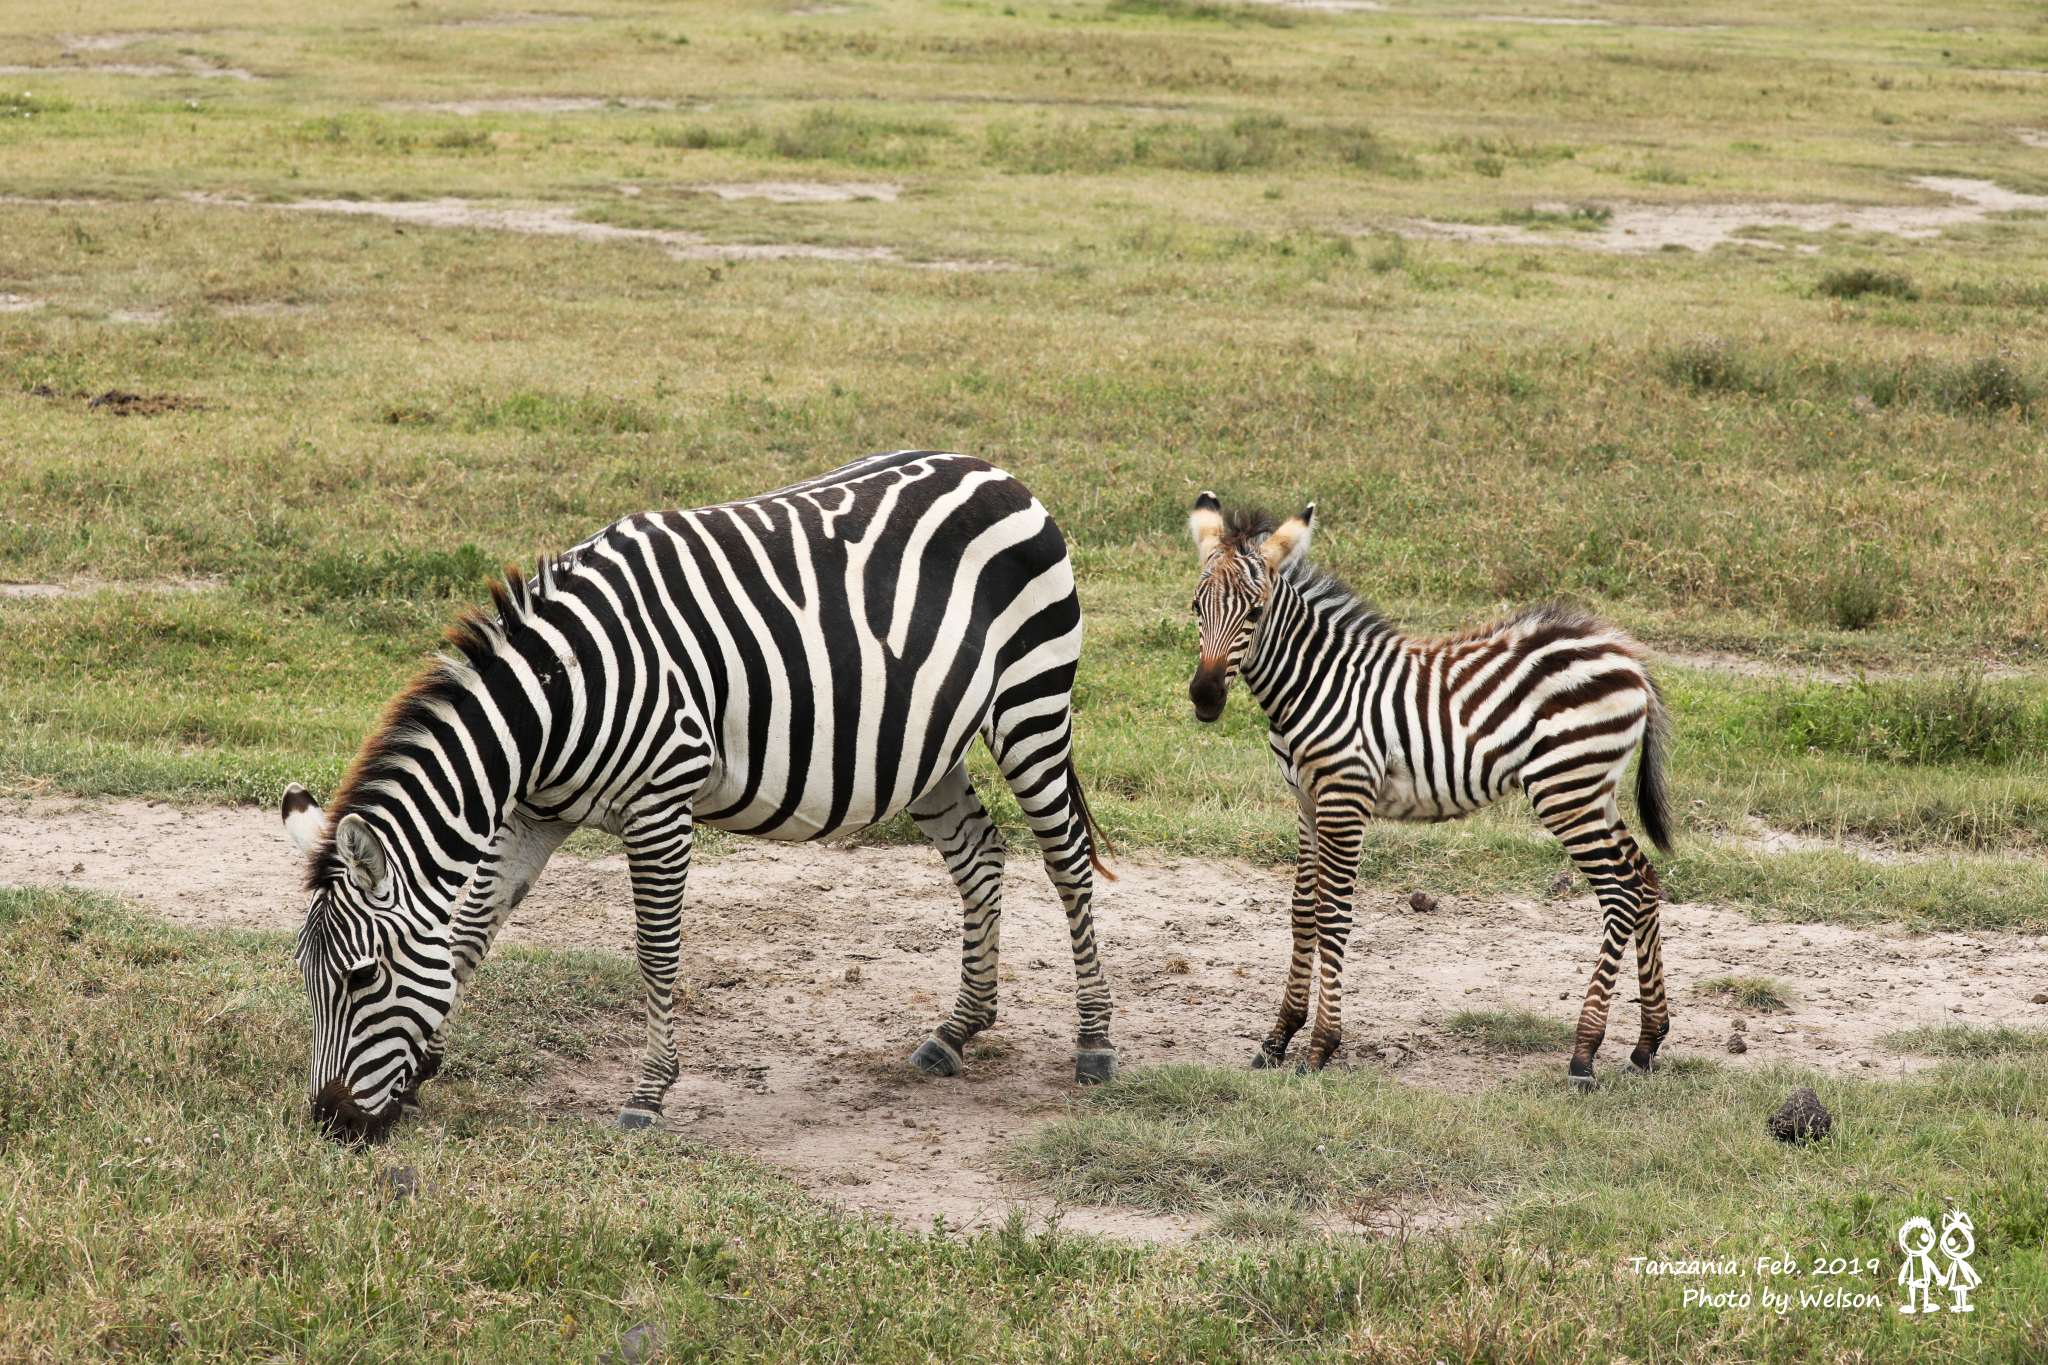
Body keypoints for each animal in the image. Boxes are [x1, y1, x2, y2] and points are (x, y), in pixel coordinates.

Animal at [278, 450, 1114, 1146]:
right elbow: (471, 931)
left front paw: (647, 1096)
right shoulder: (534, 812)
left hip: (1031, 702)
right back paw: (958, 1029)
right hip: (925, 744)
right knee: (979, 854)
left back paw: (1096, 1043)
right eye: (306, 975)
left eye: (362, 977)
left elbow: (655, 950)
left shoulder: (659, 803)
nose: (334, 1124)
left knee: (1067, 858)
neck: (554, 699)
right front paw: (422, 1069)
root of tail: (999, 473)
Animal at [1196, 493, 1671, 1088]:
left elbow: (1332, 913)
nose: (1204, 699)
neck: (1314, 684)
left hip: (1565, 789)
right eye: (1196, 607)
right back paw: (1648, 1042)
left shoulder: (1344, 798)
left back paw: (1584, 1054)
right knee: (1644, 878)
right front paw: (1279, 1037)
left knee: (1621, 892)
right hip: (1593, 788)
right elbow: (1302, 909)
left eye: (1255, 614)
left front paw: (1320, 1047)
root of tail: (1627, 656)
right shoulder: (1305, 801)